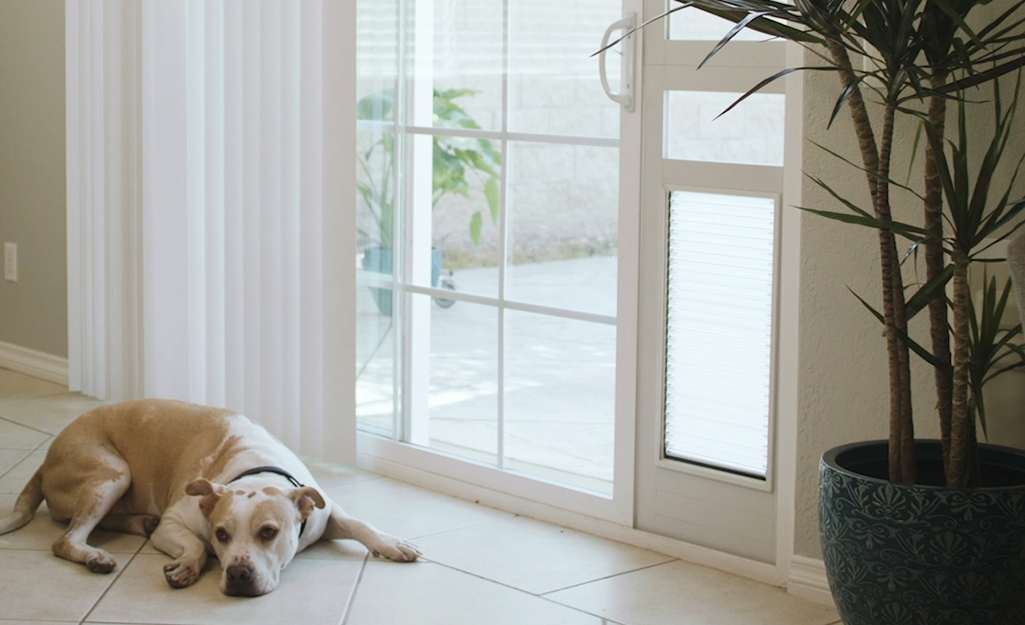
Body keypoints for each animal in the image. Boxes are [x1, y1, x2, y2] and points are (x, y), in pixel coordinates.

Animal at [0, 399, 420, 594]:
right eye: (221, 534)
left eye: (269, 532)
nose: (237, 574)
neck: (258, 466)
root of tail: (47, 457)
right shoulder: (176, 522)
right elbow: (194, 545)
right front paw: (188, 563)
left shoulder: (323, 511)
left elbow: (361, 524)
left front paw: (391, 544)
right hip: (112, 473)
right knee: (66, 538)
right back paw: (95, 556)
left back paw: (139, 522)